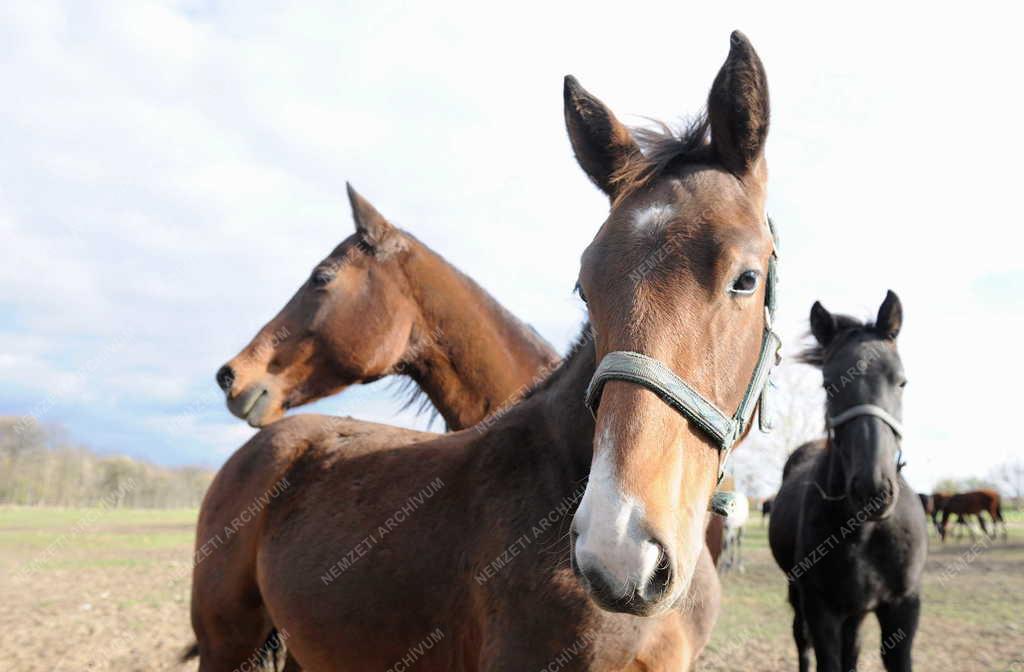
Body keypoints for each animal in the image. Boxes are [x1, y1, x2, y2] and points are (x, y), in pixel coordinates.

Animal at [770, 292, 929, 672]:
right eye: (829, 384)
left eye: (901, 381)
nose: (872, 489)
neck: (866, 531)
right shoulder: (820, 607)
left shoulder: (903, 606)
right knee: (802, 639)